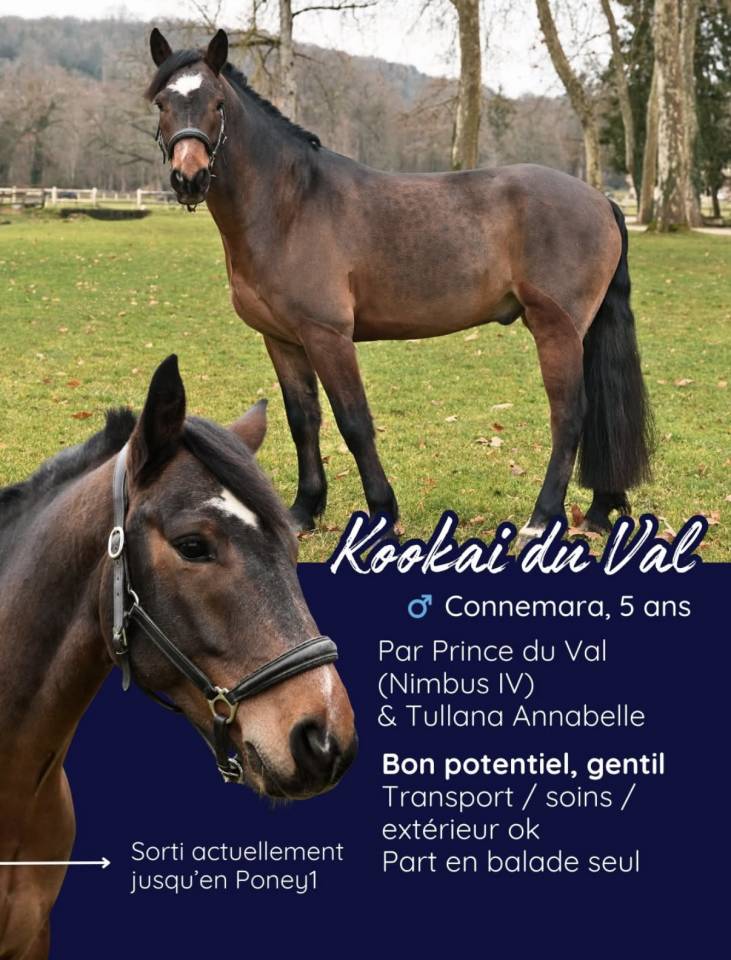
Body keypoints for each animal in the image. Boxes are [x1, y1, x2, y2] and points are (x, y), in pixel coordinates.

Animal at [146, 28, 652, 548]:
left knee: (569, 417)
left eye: (217, 103)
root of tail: (602, 200)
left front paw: (382, 514)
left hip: (557, 329)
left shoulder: (327, 335)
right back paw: (599, 512)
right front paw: (303, 511)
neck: (290, 205)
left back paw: (541, 518)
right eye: (162, 102)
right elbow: (302, 421)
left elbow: (354, 423)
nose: (189, 177)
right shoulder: (283, 340)